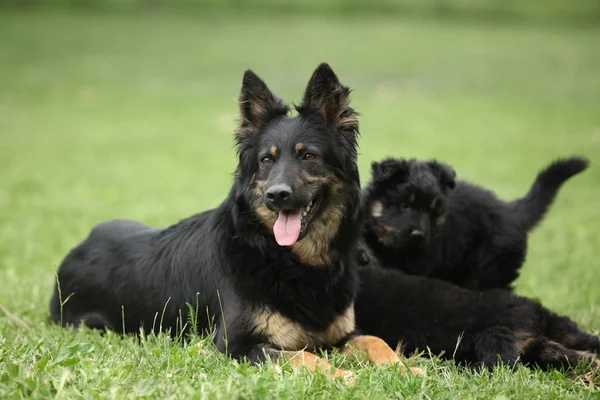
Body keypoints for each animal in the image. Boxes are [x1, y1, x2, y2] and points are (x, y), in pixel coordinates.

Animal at [49, 64, 420, 380]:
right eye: (267, 160)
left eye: (308, 155)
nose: (276, 195)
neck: (289, 259)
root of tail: (80, 246)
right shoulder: (236, 344)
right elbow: (303, 355)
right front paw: (346, 376)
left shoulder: (343, 334)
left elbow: (374, 340)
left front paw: (402, 368)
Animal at [360, 156, 592, 290]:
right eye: (404, 205)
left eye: (433, 212)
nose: (419, 237)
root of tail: (512, 212)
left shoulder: (420, 264)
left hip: (490, 268)